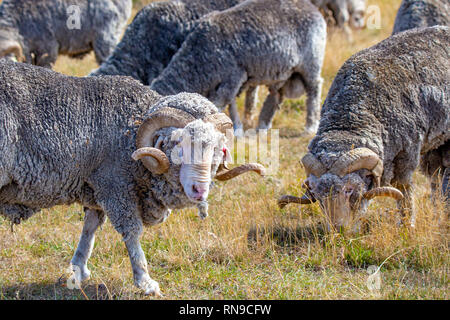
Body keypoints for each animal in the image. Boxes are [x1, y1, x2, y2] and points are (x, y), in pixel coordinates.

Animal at [0, 60, 266, 296]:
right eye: (178, 146)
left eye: (218, 149)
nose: (199, 190)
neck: (129, 131)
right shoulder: (115, 186)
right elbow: (132, 232)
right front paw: (145, 281)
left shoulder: (96, 186)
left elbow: (90, 229)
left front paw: (78, 270)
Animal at [151, 0, 326, 134]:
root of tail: (312, 8)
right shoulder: (233, 80)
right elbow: (232, 103)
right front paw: (237, 127)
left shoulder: (234, 75)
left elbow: (222, 102)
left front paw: (231, 129)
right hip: (284, 72)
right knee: (276, 94)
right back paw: (263, 126)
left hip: (311, 61)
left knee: (314, 89)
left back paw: (310, 126)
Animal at [280, 26, 448, 228]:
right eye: (317, 193)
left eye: (349, 189)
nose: (338, 228)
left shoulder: (407, 153)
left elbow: (403, 189)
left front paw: (407, 224)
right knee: (437, 174)